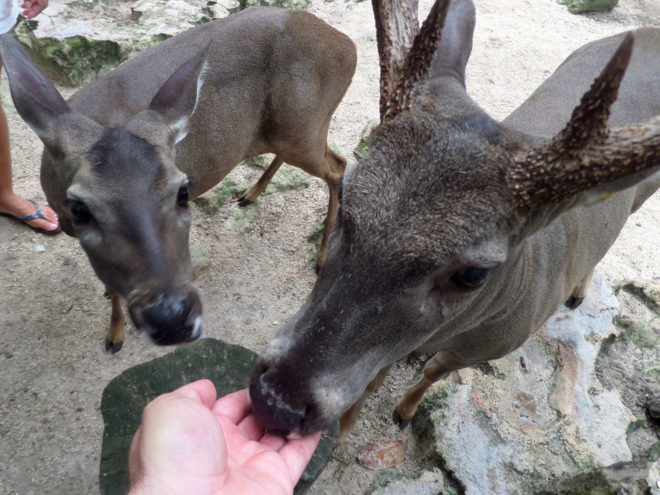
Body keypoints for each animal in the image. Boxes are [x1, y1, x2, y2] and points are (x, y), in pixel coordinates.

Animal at [0, 6, 356, 352]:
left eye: (183, 191)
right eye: (79, 208)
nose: (170, 317)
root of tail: (347, 46)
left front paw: (114, 337)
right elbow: (109, 283)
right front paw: (112, 316)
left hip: (304, 128)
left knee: (339, 166)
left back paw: (322, 257)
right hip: (293, 132)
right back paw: (251, 193)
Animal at [248, 0, 660, 440]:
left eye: (473, 274)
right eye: (347, 196)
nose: (277, 400)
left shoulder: (496, 345)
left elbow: (434, 369)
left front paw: (403, 411)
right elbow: (377, 374)